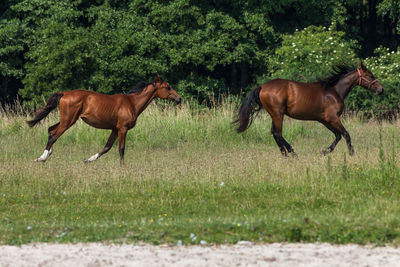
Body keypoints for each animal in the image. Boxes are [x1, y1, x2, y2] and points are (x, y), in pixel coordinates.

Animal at [28, 74, 183, 164]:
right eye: (167, 87)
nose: (179, 99)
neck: (132, 103)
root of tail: (64, 93)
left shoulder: (115, 129)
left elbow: (107, 147)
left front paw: (88, 160)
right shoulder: (122, 129)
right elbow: (121, 148)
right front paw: (123, 166)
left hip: (67, 120)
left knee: (51, 130)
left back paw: (46, 155)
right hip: (68, 121)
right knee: (54, 135)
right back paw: (42, 157)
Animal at [234, 63, 384, 156]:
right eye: (370, 75)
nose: (381, 90)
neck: (334, 91)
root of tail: (262, 87)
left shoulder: (325, 120)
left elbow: (338, 135)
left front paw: (324, 151)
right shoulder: (333, 118)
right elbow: (346, 134)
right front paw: (351, 153)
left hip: (275, 114)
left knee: (274, 133)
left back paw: (288, 153)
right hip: (277, 114)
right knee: (278, 133)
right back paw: (291, 153)